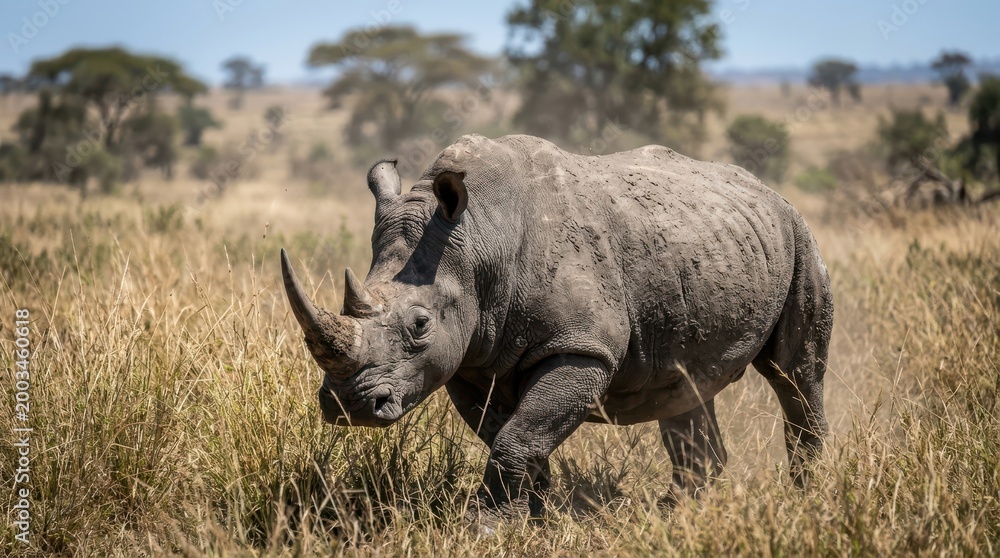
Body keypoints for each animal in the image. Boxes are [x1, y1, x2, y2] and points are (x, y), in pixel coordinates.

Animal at [281, 133, 832, 523]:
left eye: (420, 325)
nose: (349, 406)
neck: (479, 242)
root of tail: (769, 191)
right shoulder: (470, 361)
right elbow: (514, 437)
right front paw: (531, 519)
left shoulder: (583, 348)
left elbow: (519, 437)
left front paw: (487, 528)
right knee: (687, 387)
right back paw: (677, 514)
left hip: (801, 237)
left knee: (796, 374)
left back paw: (805, 499)